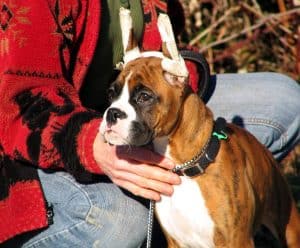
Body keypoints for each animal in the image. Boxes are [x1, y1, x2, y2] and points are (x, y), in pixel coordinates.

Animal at [99, 8, 300, 248]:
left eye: (144, 96)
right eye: (111, 93)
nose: (112, 113)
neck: (185, 166)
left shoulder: (237, 240)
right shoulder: (176, 242)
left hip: (289, 226)